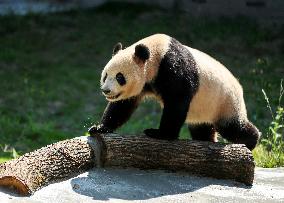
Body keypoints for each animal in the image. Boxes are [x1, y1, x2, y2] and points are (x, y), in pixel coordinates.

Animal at [89, 33, 260, 151]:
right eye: (105, 75)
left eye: (120, 77)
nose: (106, 90)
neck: (156, 53)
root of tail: (239, 87)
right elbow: (123, 105)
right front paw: (100, 128)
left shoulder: (174, 67)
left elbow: (177, 102)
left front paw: (160, 134)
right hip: (205, 109)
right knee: (202, 128)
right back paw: (206, 141)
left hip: (225, 102)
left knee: (233, 127)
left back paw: (251, 141)